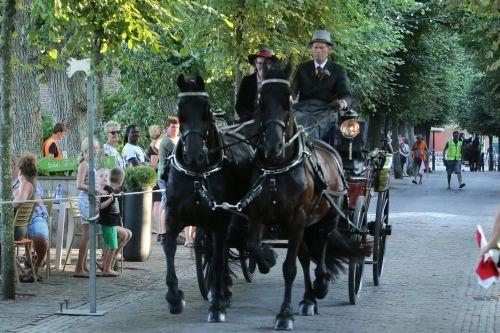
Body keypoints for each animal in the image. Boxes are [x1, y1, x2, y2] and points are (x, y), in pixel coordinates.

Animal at [162, 74, 252, 322]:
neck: (197, 175)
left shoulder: (219, 221)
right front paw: (174, 297)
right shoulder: (173, 217)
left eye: (207, 111)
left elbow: (220, 257)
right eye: (180, 111)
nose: (194, 155)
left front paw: (218, 302)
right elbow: (169, 247)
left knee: (221, 251)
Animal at [246, 63, 372, 330]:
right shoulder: (258, 214)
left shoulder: (298, 217)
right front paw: (267, 259)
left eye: (288, 103)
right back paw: (308, 299)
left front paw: (285, 314)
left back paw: (321, 284)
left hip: (326, 217)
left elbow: (289, 268)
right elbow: (254, 247)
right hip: (306, 225)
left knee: (322, 245)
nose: (273, 146)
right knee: (306, 257)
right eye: (261, 101)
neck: (278, 168)